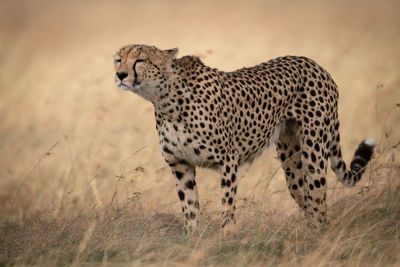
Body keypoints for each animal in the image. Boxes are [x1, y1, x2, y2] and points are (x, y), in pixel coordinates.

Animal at [113, 45, 376, 233]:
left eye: (140, 60)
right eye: (118, 59)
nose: (120, 75)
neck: (166, 100)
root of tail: (314, 64)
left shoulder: (228, 160)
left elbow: (227, 204)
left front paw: (225, 238)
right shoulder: (179, 164)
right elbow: (189, 207)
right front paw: (192, 240)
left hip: (314, 153)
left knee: (319, 199)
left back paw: (320, 236)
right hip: (292, 163)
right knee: (307, 199)